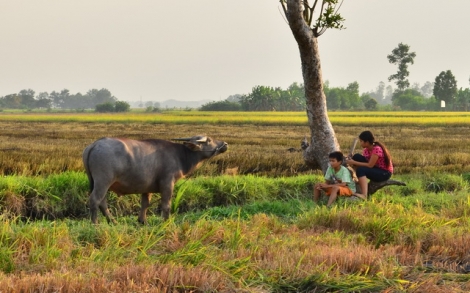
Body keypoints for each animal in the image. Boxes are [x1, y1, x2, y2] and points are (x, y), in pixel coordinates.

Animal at [82, 135, 228, 224]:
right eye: (209, 140)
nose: (225, 144)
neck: (181, 155)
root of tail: (94, 145)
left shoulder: (146, 188)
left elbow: (145, 204)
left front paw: (142, 221)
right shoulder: (168, 183)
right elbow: (166, 205)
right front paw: (166, 221)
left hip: (98, 182)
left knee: (102, 202)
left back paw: (112, 221)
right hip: (103, 181)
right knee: (95, 200)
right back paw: (95, 223)